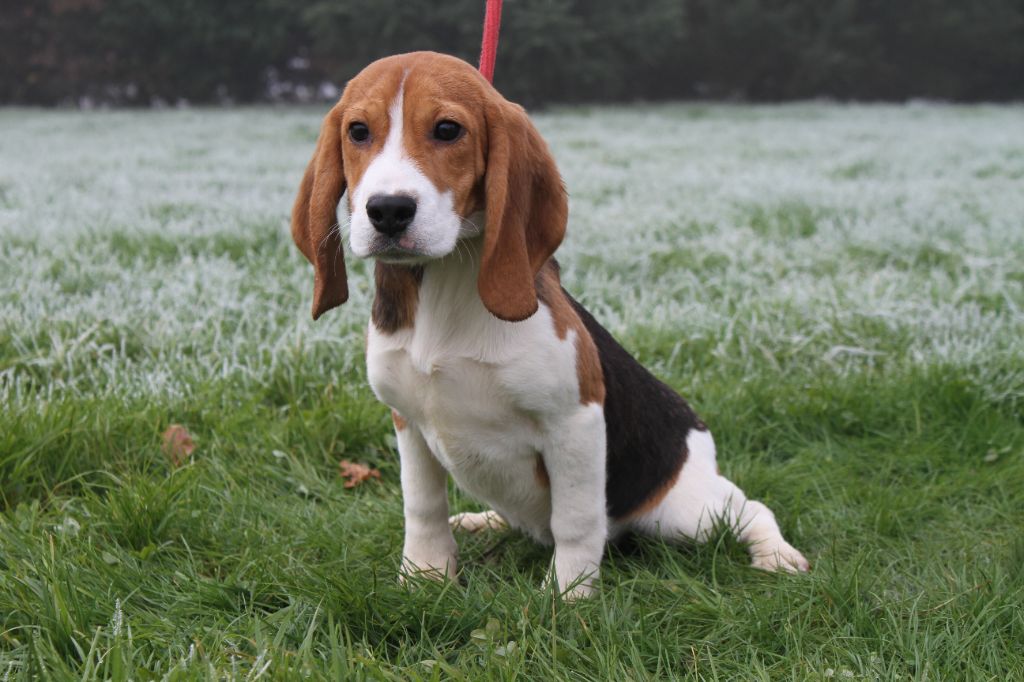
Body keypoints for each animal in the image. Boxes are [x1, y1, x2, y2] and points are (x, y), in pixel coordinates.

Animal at [290, 51, 806, 593]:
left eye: (448, 129)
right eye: (358, 131)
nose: (388, 210)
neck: (447, 283)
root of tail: (698, 436)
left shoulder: (574, 421)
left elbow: (575, 521)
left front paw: (567, 595)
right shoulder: (407, 421)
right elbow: (423, 506)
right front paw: (425, 575)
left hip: (684, 513)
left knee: (749, 510)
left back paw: (777, 555)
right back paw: (482, 520)